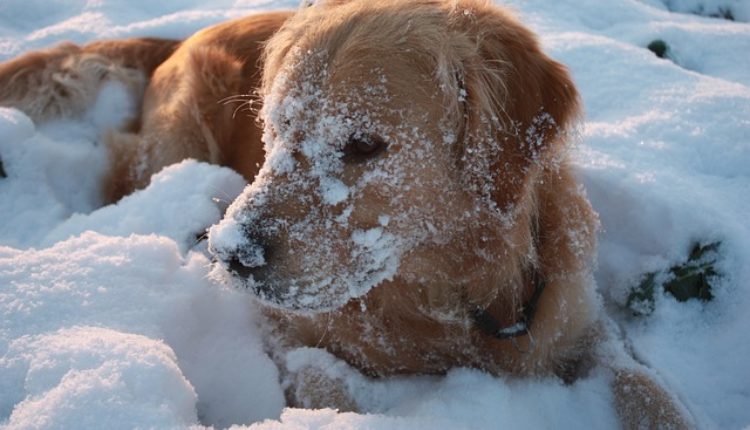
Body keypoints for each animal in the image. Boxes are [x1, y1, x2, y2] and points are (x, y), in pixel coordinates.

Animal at [0, 0, 692, 426]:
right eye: (275, 129)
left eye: (363, 145)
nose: (232, 255)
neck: (449, 295)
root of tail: (186, 32)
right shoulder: (282, 329)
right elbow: (330, 388)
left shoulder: (578, 321)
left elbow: (650, 388)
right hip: (175, 143)